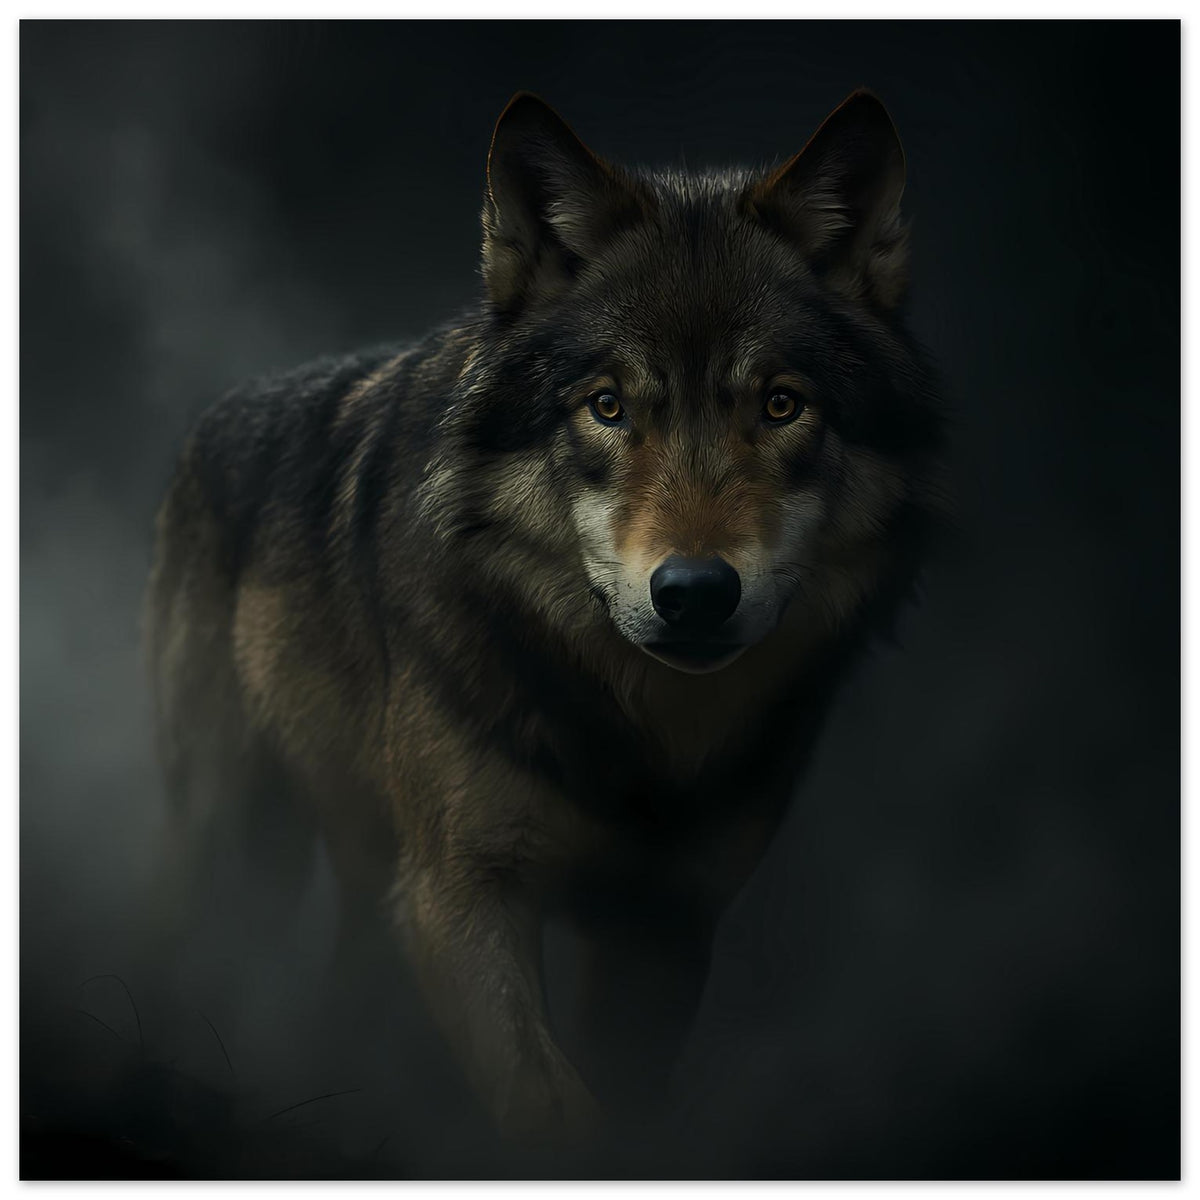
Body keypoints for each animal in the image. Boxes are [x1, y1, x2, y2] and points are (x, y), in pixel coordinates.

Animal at [146, 89, 946, 1144]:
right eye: (606, 407)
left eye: (781, 406)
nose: (695, 591)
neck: (635, 733)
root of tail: (212, 417)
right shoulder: (459, 895)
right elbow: (549, 1105)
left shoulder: (664, 927)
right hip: (232, 837)